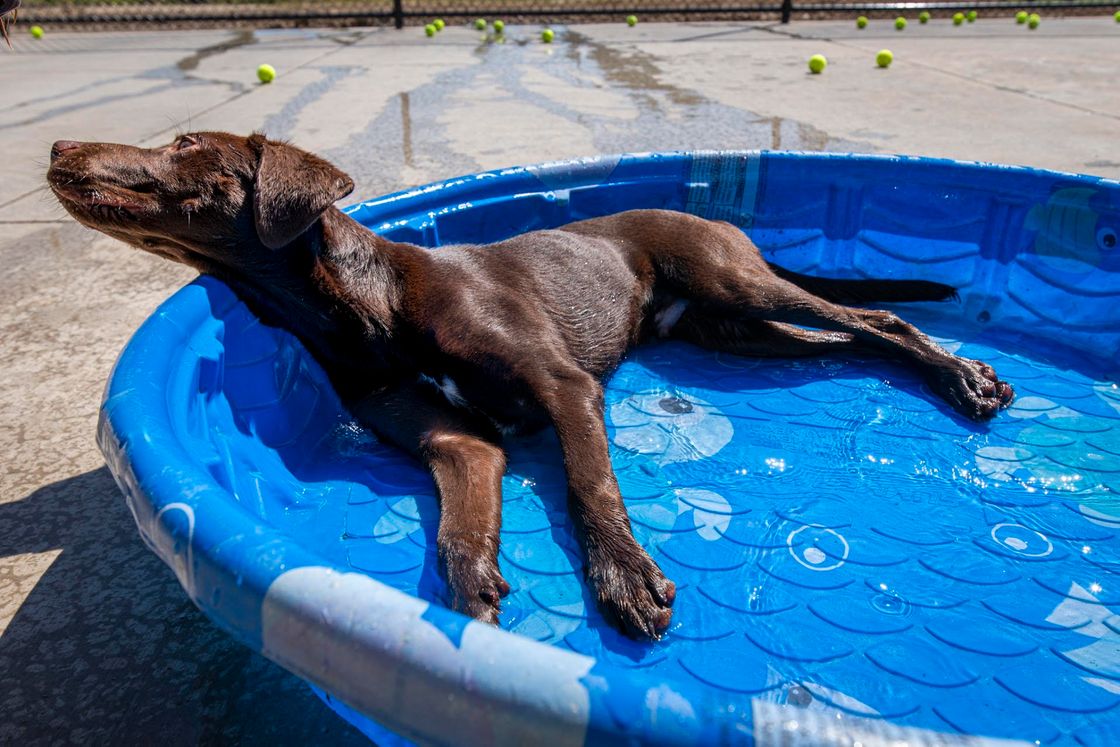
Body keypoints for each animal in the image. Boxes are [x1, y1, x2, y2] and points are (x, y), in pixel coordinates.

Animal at [45, 131, 1016, 640]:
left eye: (184, 146)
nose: (58, 145)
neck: (363, 306)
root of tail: (716, 219)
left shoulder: (565, 388)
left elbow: (590, 486)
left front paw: (623, 577)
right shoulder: (457, 443)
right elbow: (457, 531)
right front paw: (473, 595)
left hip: (739, 289)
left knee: (879, 319)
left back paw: (964, 376)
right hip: (739, 337)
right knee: (845, 342)